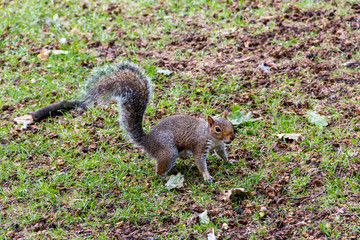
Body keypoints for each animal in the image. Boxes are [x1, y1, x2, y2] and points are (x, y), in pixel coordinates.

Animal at [32, 61, 235, 181]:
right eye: (217, 128)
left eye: (231, 125)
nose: (231, 137)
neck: (211, 136)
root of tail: (147, 141)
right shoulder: (200, 145)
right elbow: (200, 162)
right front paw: (207, 176)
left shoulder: (218, 146)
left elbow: (222, 155)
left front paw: (229, 161)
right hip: (169, 151)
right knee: (158, 171)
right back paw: (166, 178)